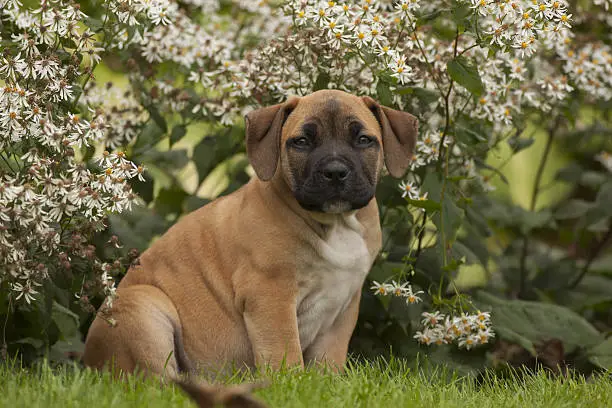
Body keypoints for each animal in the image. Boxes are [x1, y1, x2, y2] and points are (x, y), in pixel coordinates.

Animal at [83, 89, 418, 380]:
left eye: (363, 140)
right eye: (301, 142)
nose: (335, 172)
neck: (334, 223)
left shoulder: (343, 308)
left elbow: (329, 358)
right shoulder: (270, 295)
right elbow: (285, 351)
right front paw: (292, 385)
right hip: (143, 307)